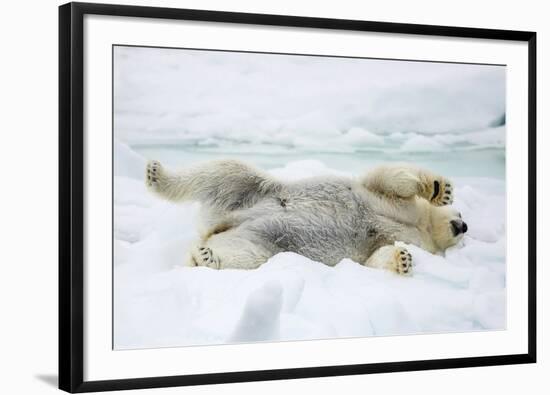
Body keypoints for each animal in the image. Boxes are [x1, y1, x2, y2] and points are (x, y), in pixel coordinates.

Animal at [144, 159, 468, 276]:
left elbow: (375, 256)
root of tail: (219, 226)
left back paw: (206, 257)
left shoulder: (408, 239)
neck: (422, 226)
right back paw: (156, 174)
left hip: (260, 242)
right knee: (223, 171)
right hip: (251, 192)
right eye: (462, 213)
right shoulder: (392, 202)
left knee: (246, 256)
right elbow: (389, 179)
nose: (463, 225)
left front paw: (402, 260)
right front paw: (441, 189)